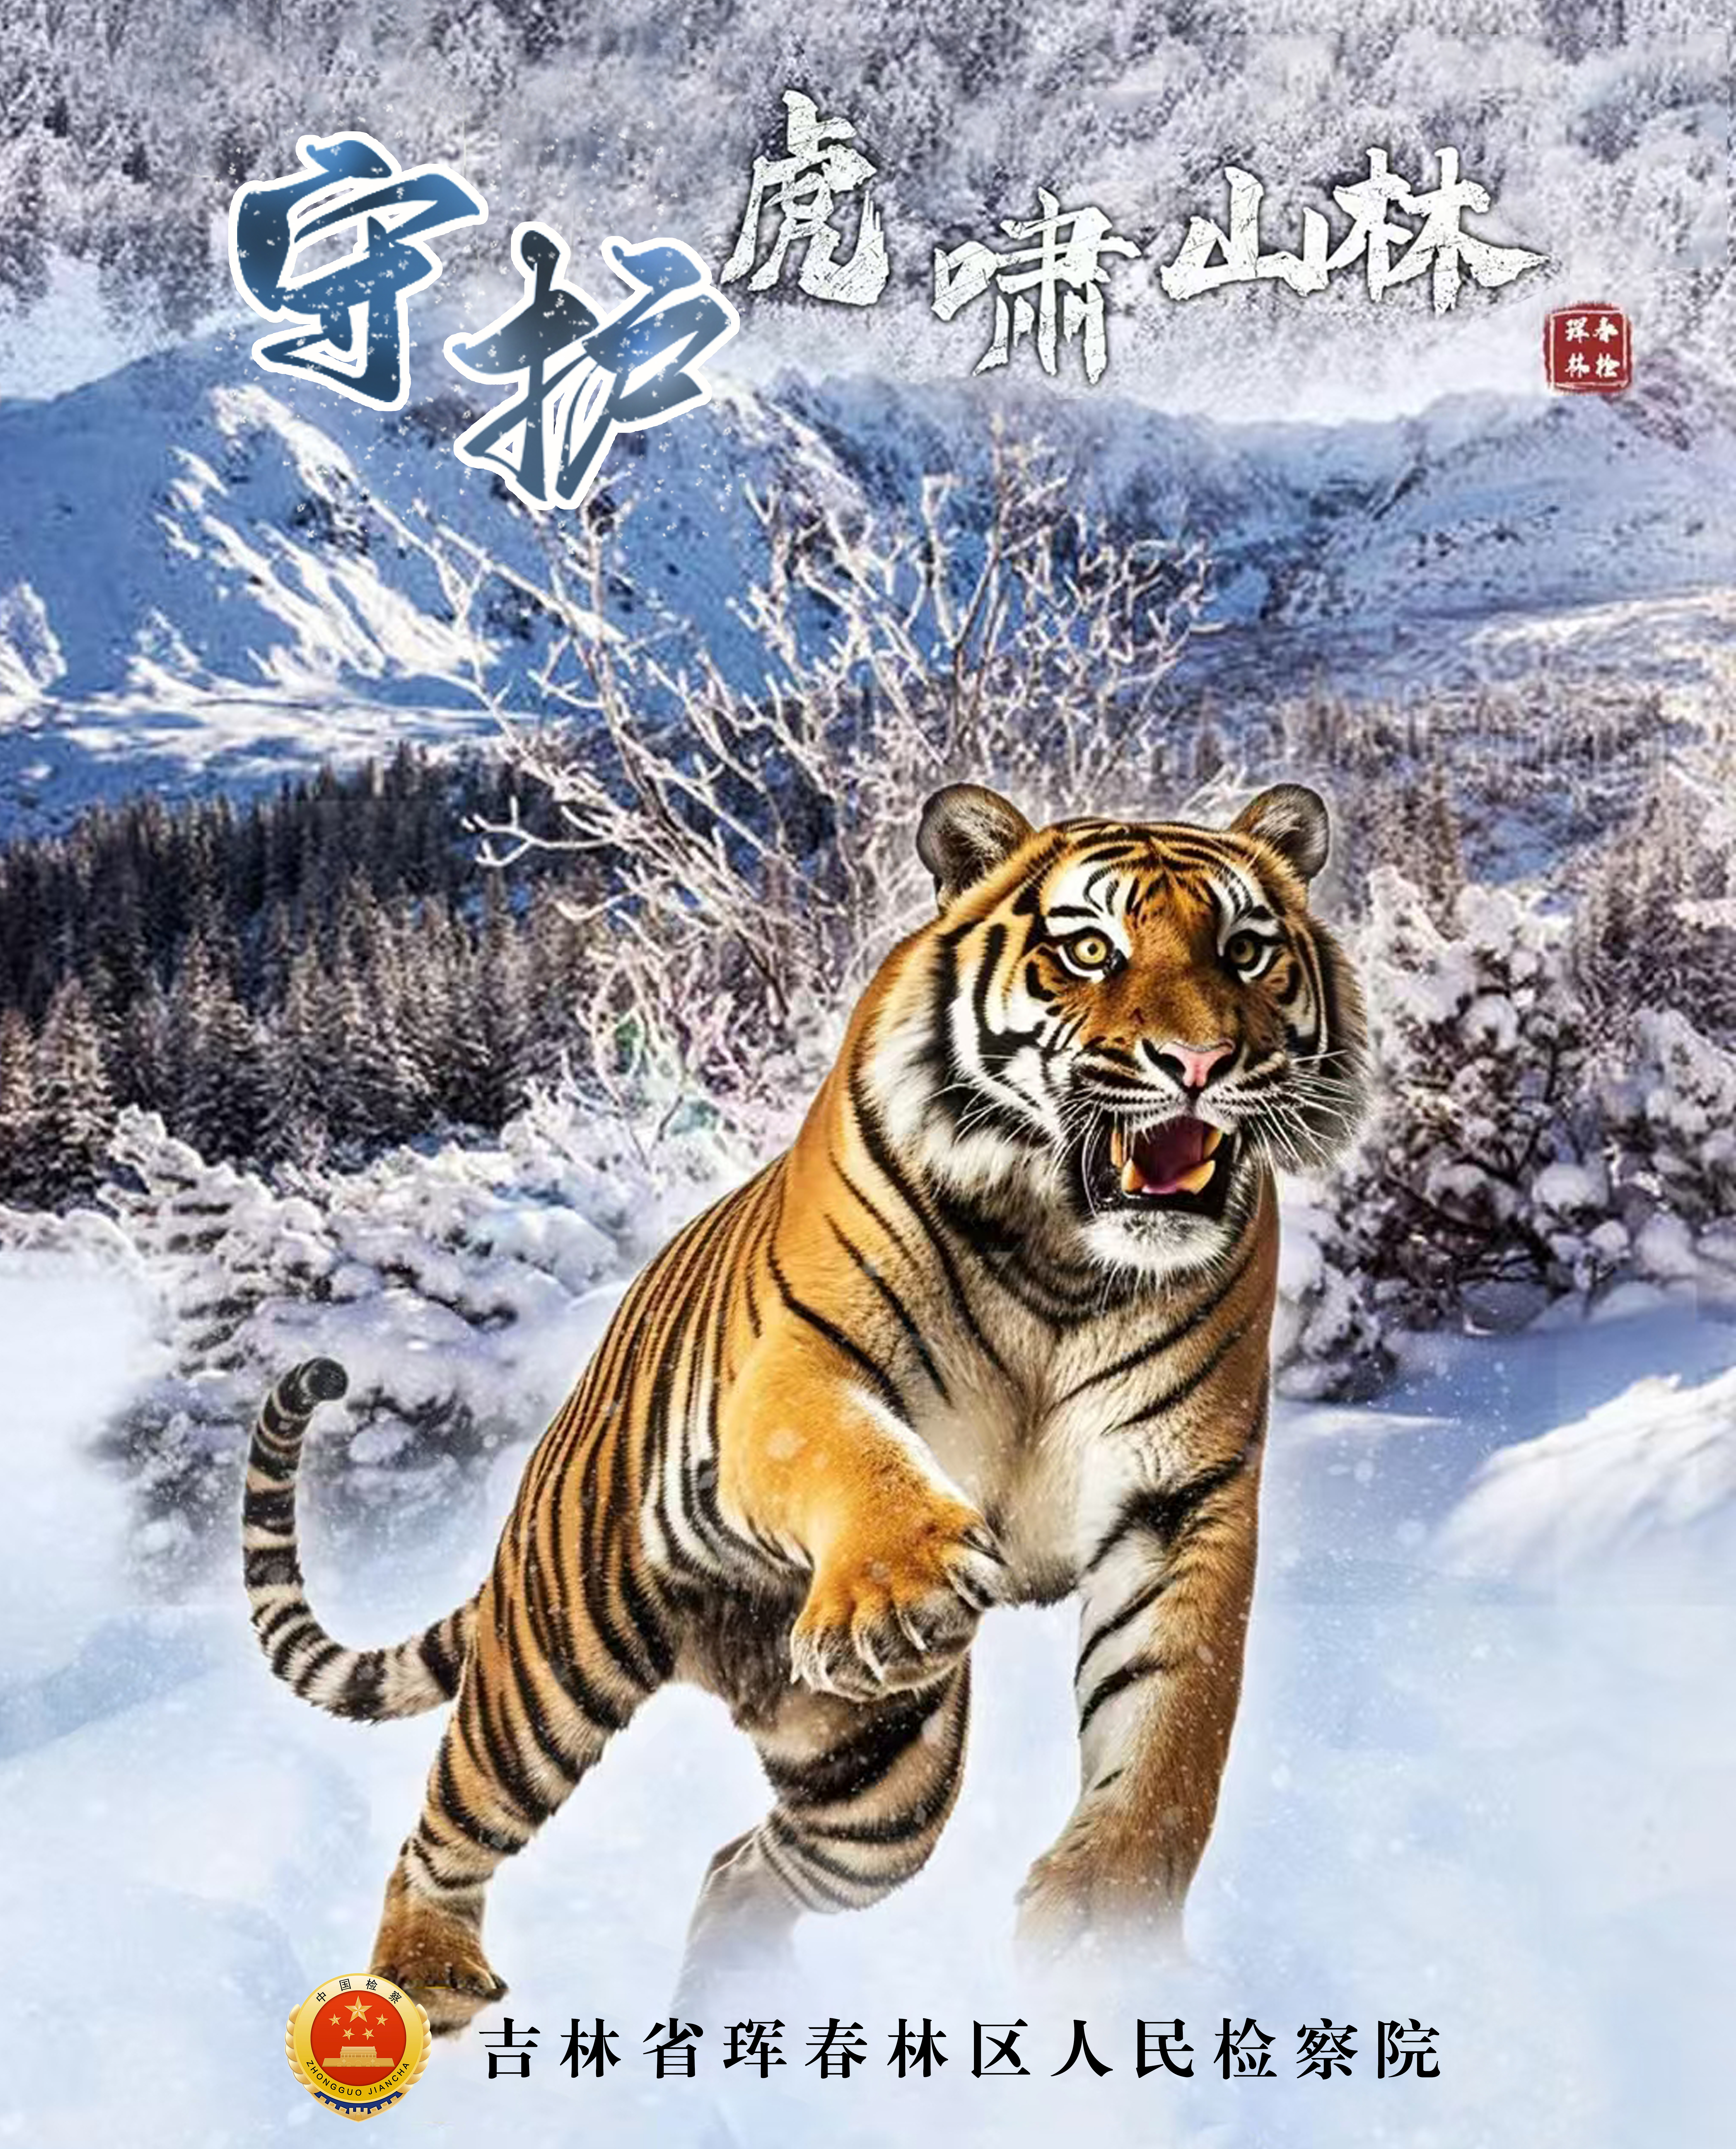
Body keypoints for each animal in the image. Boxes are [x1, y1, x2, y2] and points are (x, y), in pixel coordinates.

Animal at [242, 780, 1367, 2034]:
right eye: (1089, 949)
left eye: (1246, 950)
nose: (1199, 1060)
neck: (1067, 1254)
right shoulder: (798, 1371)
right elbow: (847, 1451)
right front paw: (899, 1591)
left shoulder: (1183, 1495)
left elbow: (1172, 1716)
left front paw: (1102, 1928)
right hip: (548, 1674)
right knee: (446, 1823)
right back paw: (421, 1974)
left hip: (875, 1795)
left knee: (741, 1865)